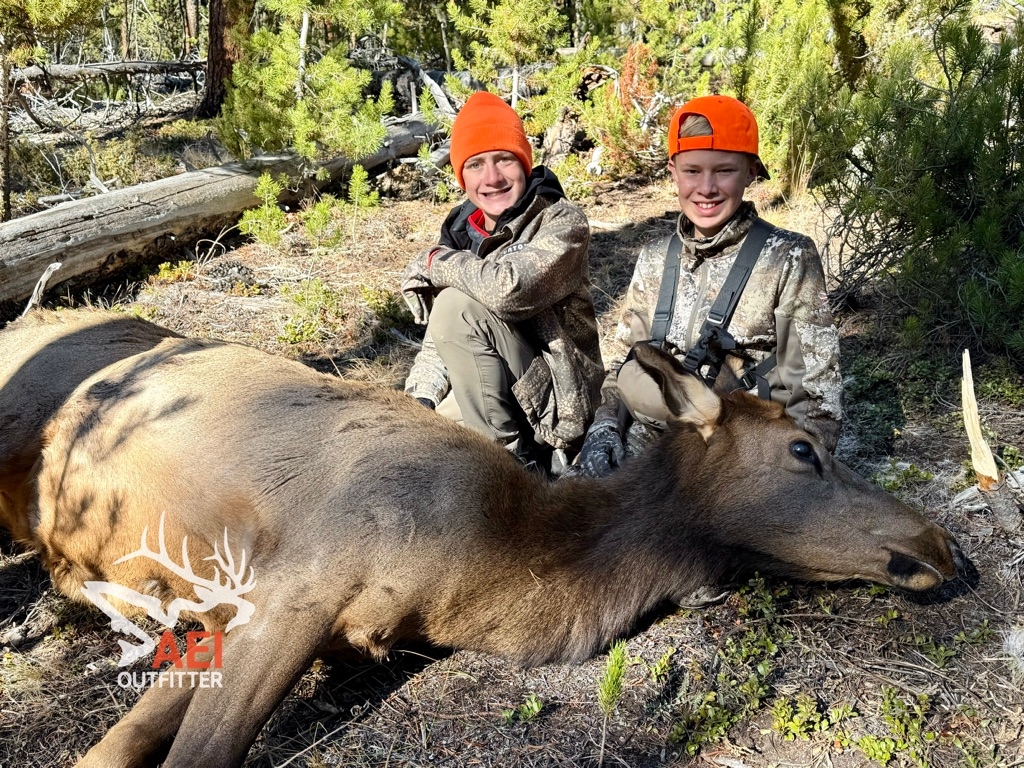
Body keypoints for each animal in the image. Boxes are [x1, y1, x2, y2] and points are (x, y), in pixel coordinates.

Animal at [0, 309, 963, 768]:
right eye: (804, 449)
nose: (942, 546)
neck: (490, 564)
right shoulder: (299, 583)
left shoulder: (244, 614)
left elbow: (121, 744)